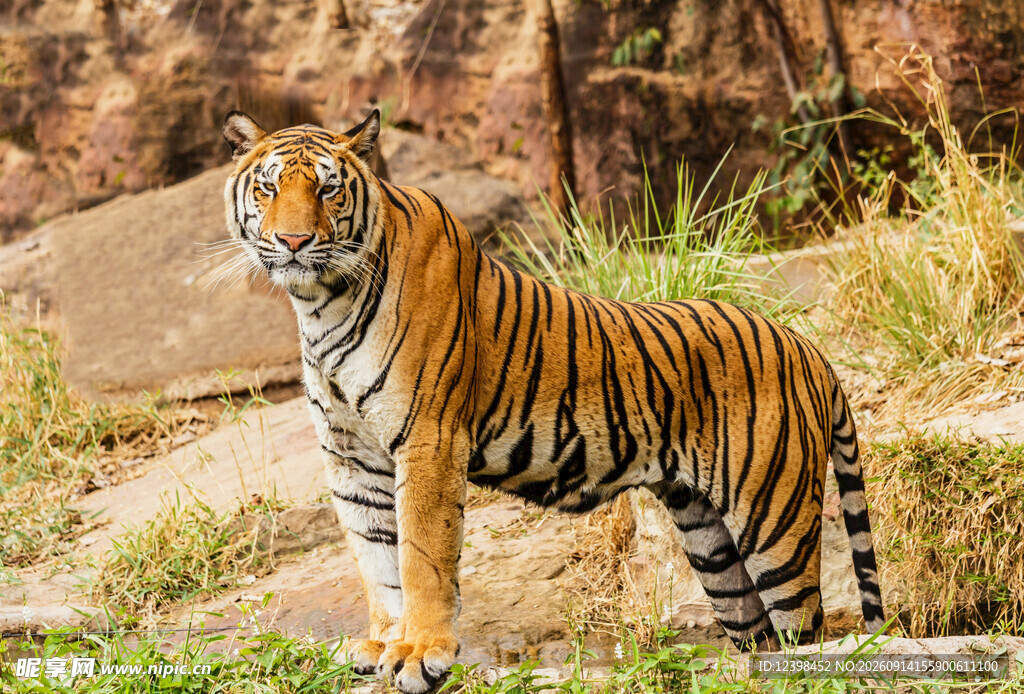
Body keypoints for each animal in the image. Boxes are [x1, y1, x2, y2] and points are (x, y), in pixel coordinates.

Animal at [221, 109, 884, 693]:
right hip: (711, 543)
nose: (293, 240)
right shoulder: (350, 455)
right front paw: (385, 644)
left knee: (808, 635)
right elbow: (376, 560)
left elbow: (420, 557)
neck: (320, 303)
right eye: (268, 186)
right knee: (761, 639)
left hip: (775, 522)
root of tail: (807, 346)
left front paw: (420, 655)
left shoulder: (429, 439)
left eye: (329, 189)